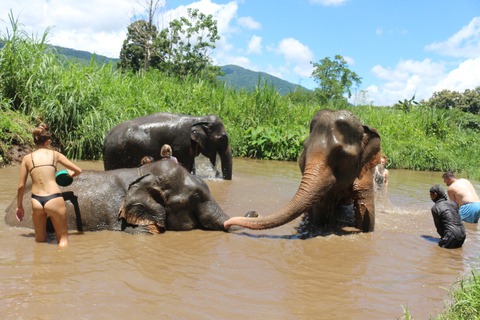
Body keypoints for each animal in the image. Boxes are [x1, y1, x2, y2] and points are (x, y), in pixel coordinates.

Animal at [102, 112, 232, 180]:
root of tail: (106, 137)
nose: (218, 174)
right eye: (222, 138)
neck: (198, 118)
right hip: (115, 154)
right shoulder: (181, 145)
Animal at [224, 109, 382, 232]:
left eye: (340, 153)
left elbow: (366, 214)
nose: (256, 212)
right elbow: (322, 214)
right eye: (305, 148)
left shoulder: (366, 171)